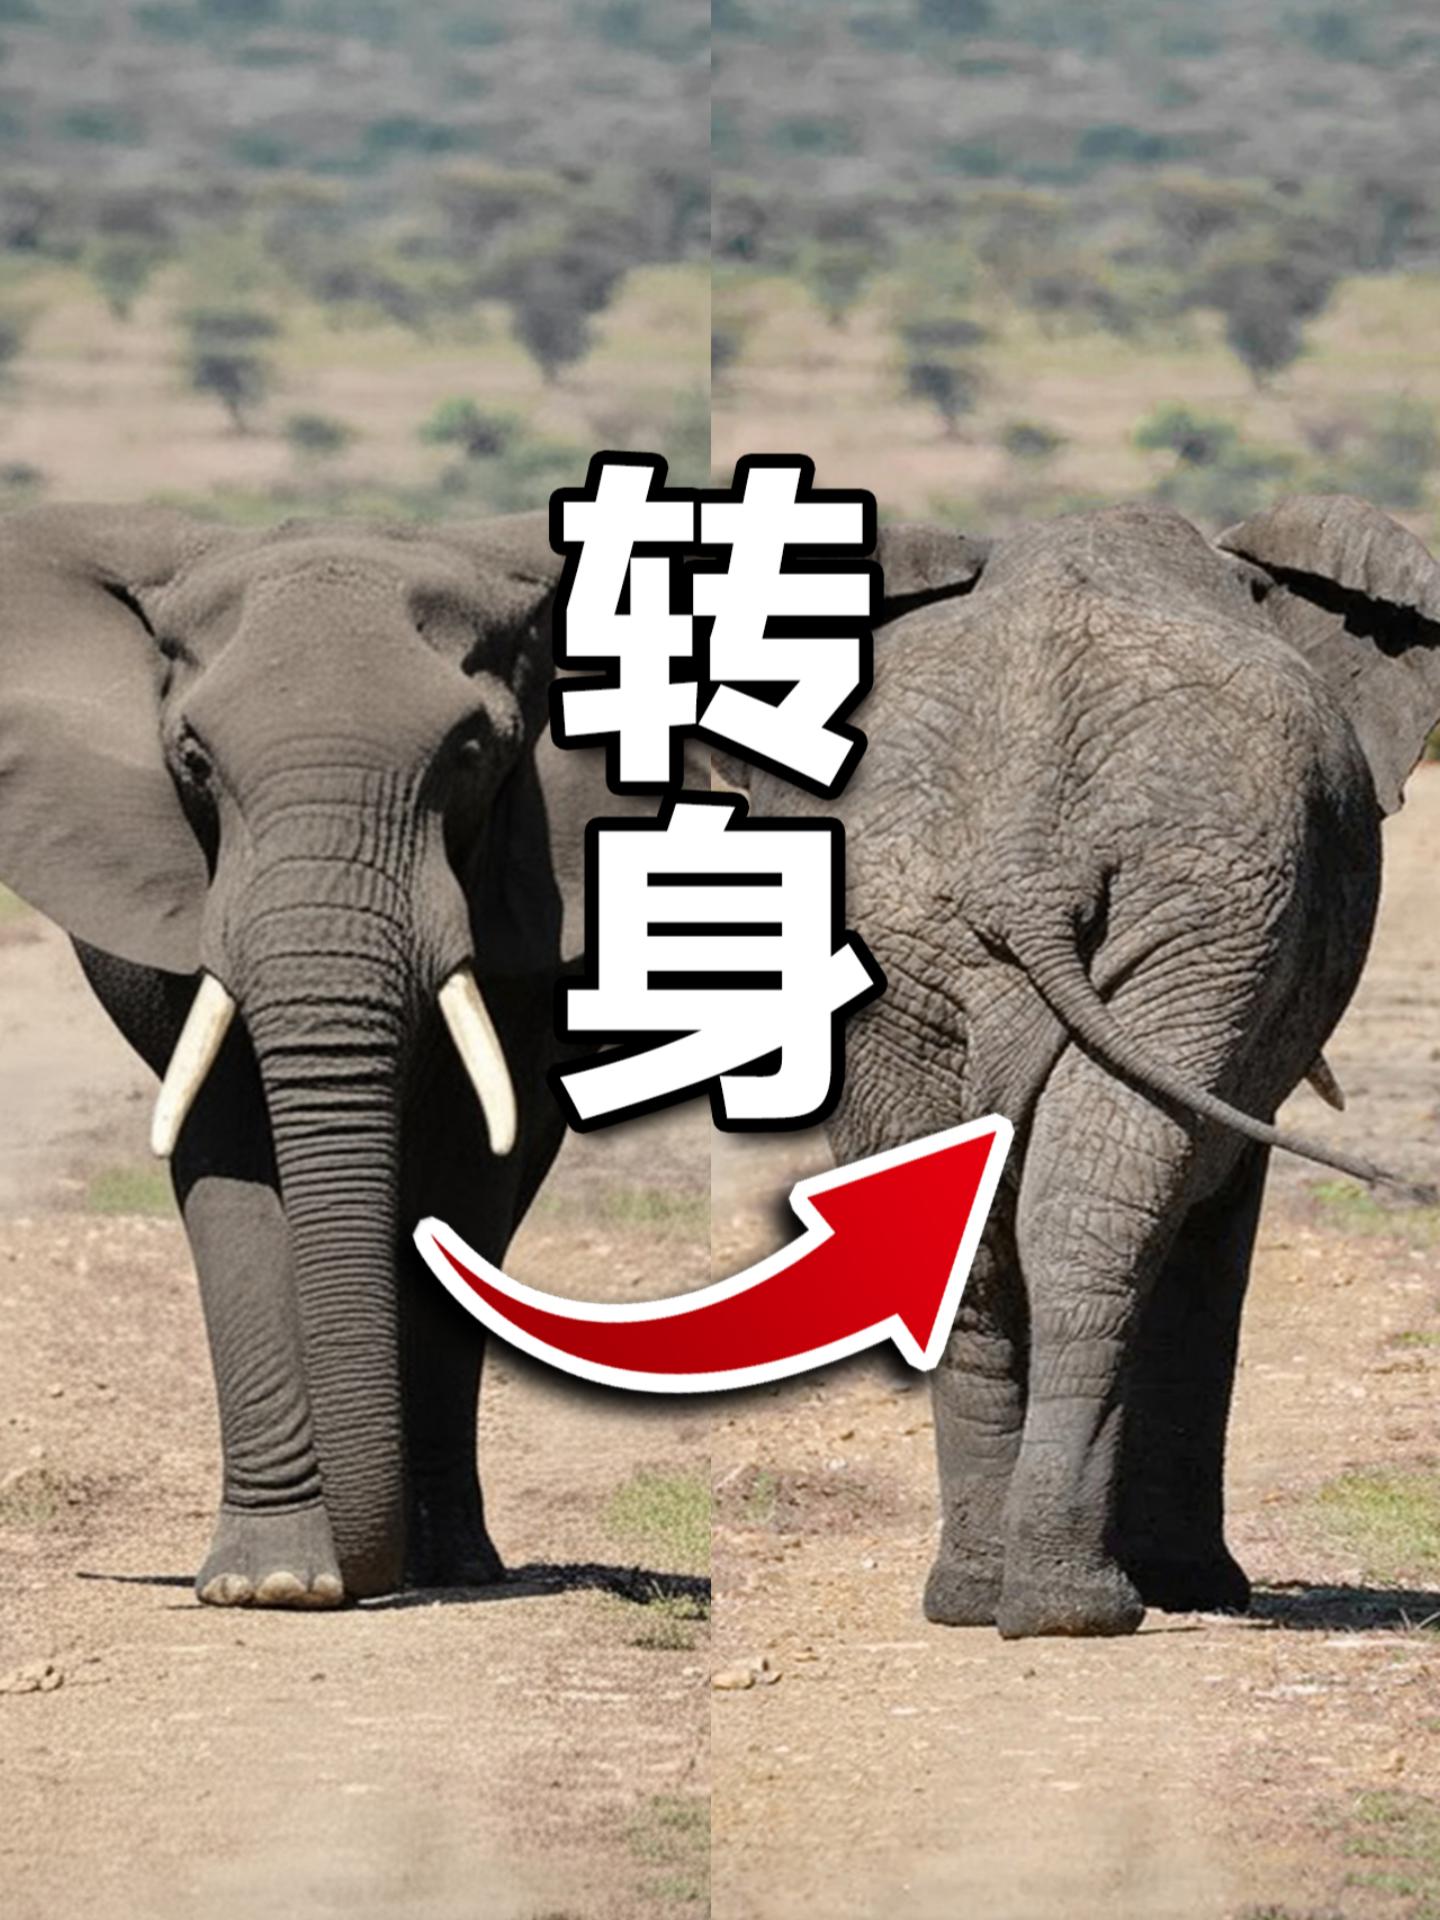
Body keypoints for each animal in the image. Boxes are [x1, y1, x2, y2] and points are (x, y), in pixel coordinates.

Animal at [0, 501, 597, 1608]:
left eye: (471, 753)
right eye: (193, 760)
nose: (370, 1578)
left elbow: (465, 1165)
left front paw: (427, 1570)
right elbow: (231, 1163)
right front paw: (275, 1583)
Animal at [723, 493, 1440, 1639]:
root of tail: (1026, 856)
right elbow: (1211, 1222)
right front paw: (1201, 1589)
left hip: (960, 915)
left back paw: (998, 1600)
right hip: (1202, 904)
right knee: (1091, 1209)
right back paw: (1077, 1606)